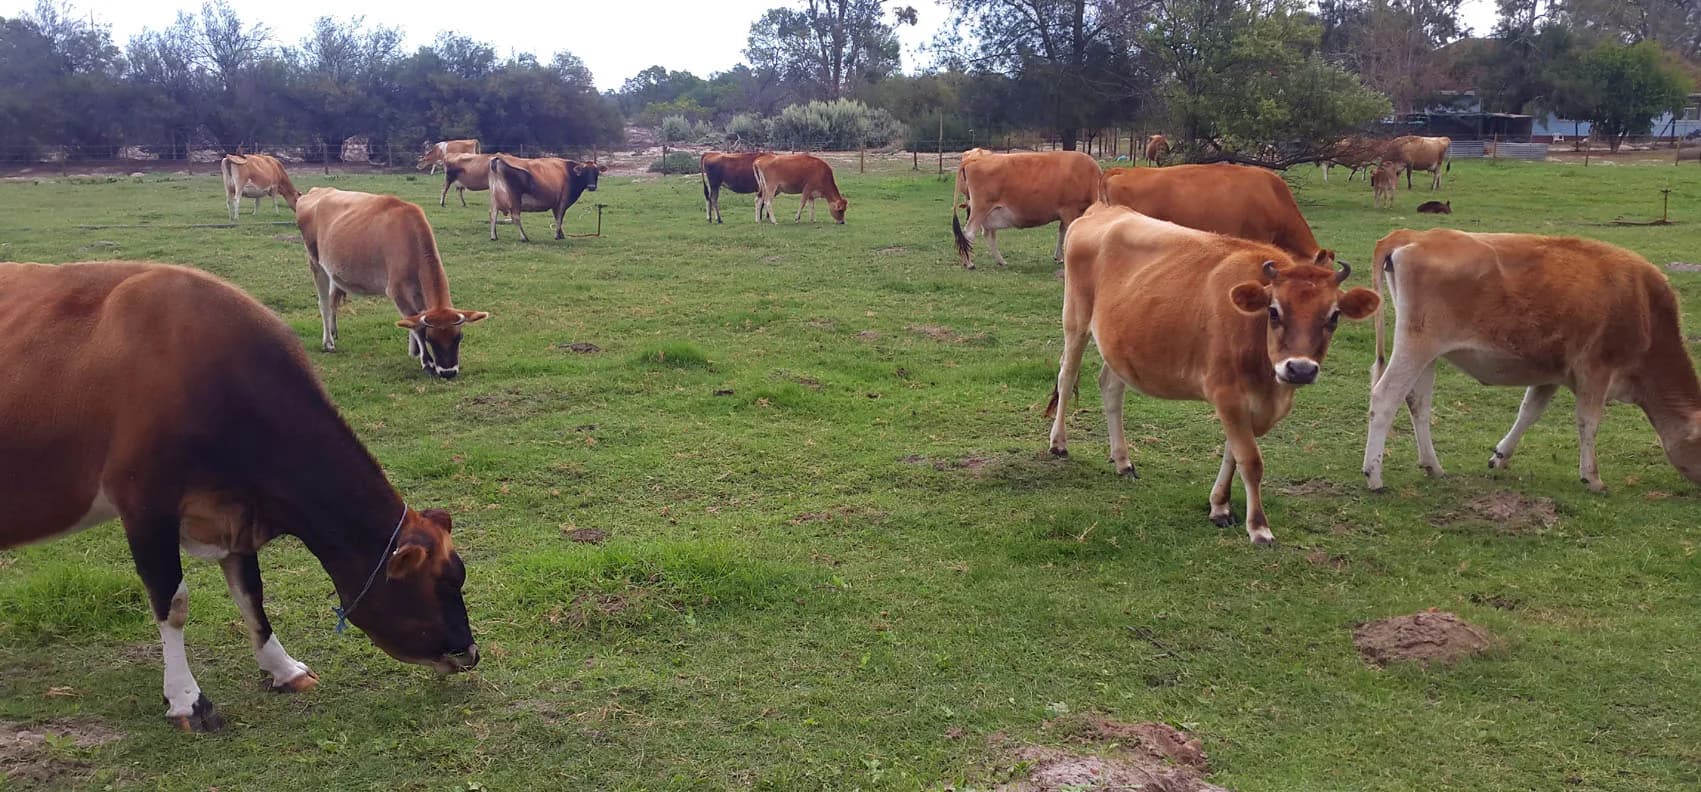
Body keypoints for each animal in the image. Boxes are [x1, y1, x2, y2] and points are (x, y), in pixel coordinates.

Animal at [0, 260, 479, 731]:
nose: (470, 653)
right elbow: (172, 603)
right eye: (439, 583)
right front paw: (187, 700)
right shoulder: (144, 505)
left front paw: (283, 668)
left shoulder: (238, 508)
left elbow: (251, 591)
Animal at [295, 188, 489, 377]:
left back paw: (334, 332)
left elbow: (413, 320)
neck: (410, 238)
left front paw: (415, 351)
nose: (448, 372)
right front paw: (427, 362)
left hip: (335, 272)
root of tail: (316, 191)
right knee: (324, 304)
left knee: (333, 300)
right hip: (315, 263)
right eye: (430, 338)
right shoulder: (397, 291)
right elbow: (416, 324)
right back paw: (328, 342)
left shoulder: (418, 291)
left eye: (459, 337)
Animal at [951, 150, 1103, 269]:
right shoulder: (1069, 210)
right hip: (980, 209)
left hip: (988, 213)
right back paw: (969, 263)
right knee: (969, 233)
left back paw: (1000, 261)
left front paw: (1058, 257)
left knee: (988, 235)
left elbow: (1062, 232)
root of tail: (977, 157)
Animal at [1046, 204, 1380, 544]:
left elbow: (1233, 454)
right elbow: (1250, 460)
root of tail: (1105, 208)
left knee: (1110, 387)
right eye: (1274, 311)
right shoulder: (1228, 394)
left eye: (1334, 316)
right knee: (1066, 376)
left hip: (1121, 346)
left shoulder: (1245, 402)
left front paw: (1220, 506)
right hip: (1075, 319)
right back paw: (1058, 443)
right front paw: (1258, 527)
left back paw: (1123, 460)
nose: (1299, 369)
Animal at [1363, 230, 1701, 493]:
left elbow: (1529, 412)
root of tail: (1414, 235)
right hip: (1415, 348)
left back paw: (1433, 466)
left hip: (1427, 356)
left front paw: (1500, 456)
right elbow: (1588, 422)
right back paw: (1374, 477)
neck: (1645, 308)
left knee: (1418, 403)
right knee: (1385, 398)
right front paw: (1592, 477)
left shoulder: (1552, 374)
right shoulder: (1596, 371)